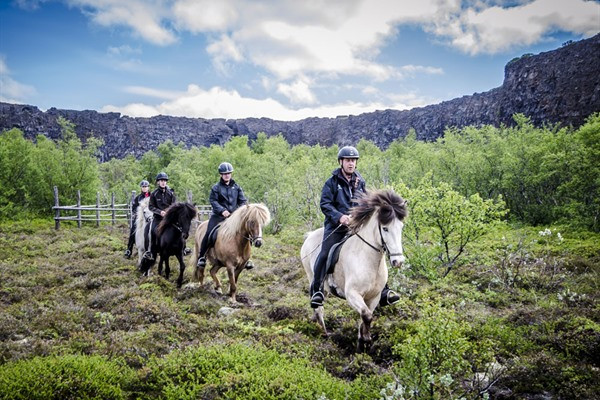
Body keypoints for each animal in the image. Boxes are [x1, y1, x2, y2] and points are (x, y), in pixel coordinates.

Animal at [300, 189, 408, 352]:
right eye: (385, 228)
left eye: (401, 227)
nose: (398, 261)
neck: (368, 259)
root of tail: (310, 235)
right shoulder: (352, 294)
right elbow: (366, 315)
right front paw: (366, 341)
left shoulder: (374, 297)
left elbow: (365, 316)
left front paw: (362, 343)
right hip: (311, 276)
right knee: (318, 307)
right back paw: (324, 334)